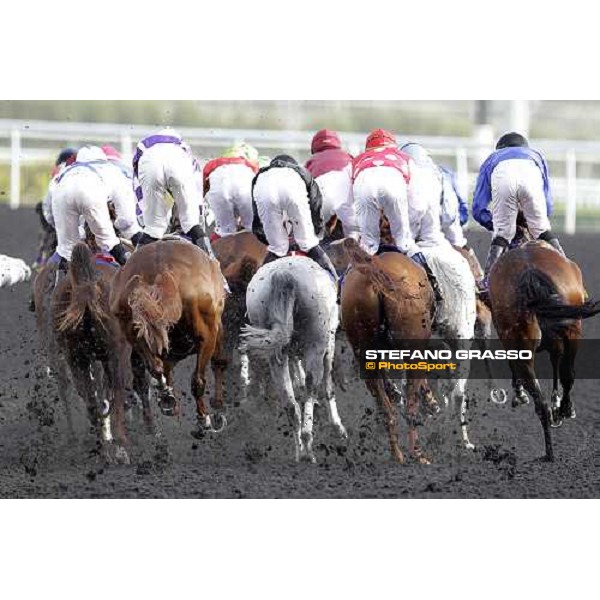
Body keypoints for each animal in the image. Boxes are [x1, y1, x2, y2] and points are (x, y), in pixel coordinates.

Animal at [110, 239, 227, 436]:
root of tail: (160, 267)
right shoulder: (216, 332)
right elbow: (218, 363)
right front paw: (217, 409)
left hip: (132, 328)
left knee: (153, 369)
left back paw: (164, 400)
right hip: (207, 335)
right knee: (197, 380)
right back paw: (202, 420)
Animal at [340, 239, 434, 464]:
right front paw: (430, 401)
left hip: (364, 355)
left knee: (386, 409)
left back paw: (396, 454)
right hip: (413, 350)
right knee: (410, 404)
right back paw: (417, 453)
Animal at [488, 241, 600, 462]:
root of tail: (529, 272)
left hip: (525, 339)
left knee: (541, 401)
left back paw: (549, 450)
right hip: (572, 329)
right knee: (566, 375)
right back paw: (563, 411)